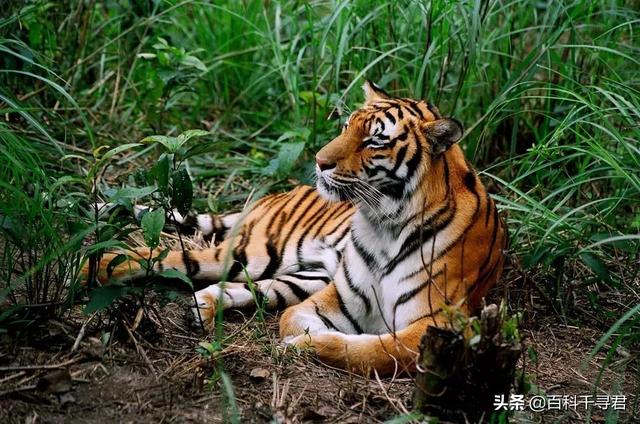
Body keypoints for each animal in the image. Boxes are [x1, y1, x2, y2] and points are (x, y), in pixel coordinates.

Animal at [86, 80, 508, 376]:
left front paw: (311, 346)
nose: (320, 162)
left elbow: (373, 350)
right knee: (166, 257)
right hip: (255, 252)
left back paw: (201, 306)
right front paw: (303, 340)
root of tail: (275, 195)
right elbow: (296, 322)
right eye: (346, 125)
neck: (384, 224)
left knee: (248, 286)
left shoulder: (438, 322)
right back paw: (93, 268)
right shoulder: (337, 298)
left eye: (375, 141)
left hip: (303, 273)